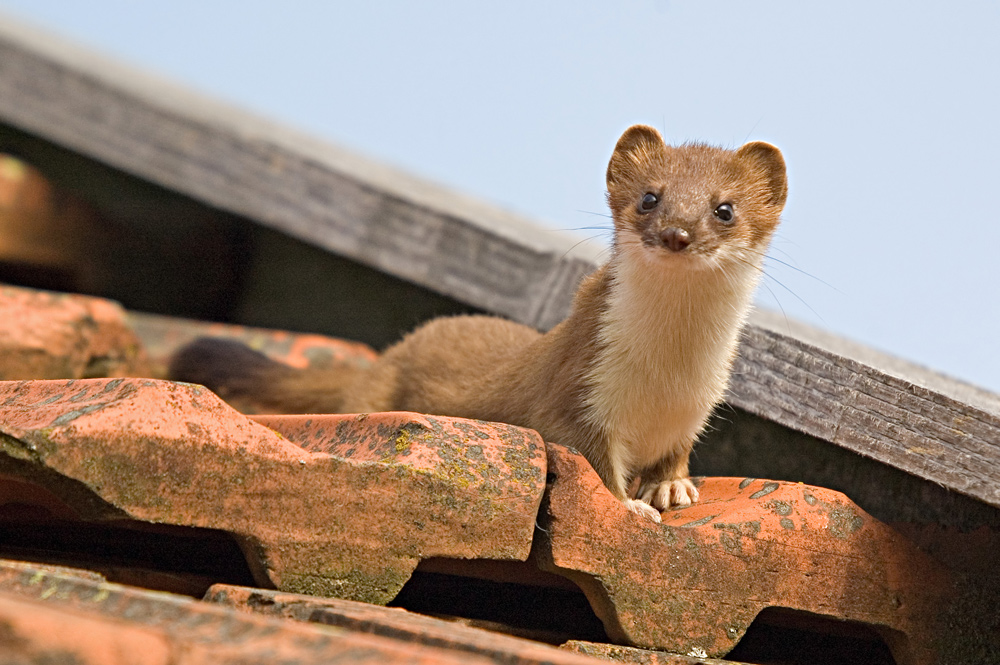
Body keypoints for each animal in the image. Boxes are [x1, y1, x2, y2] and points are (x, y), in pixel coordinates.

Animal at [170, 123, 788, 520]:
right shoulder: (577, 395)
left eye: (725, 208)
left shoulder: (697, 406)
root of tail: (390, 353)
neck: (667, 374)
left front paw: (671, 487)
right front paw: (632, 507)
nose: (677, 233)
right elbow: (593, 461)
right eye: (649, 198)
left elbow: (676, 452)